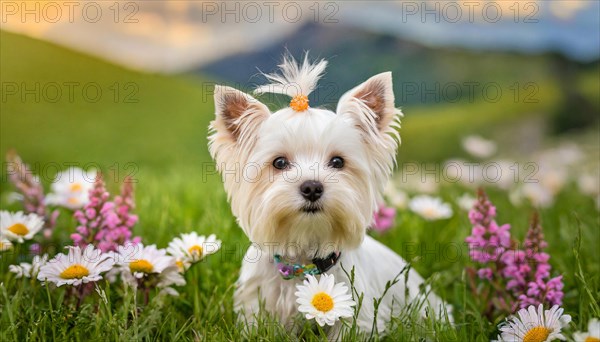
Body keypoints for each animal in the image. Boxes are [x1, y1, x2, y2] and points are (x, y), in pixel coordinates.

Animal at [209, 54, 448, 334]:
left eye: (337, 161)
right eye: (279, 162)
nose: (312, 187)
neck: (304, 262)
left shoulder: (356, 315)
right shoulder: (255, 307)